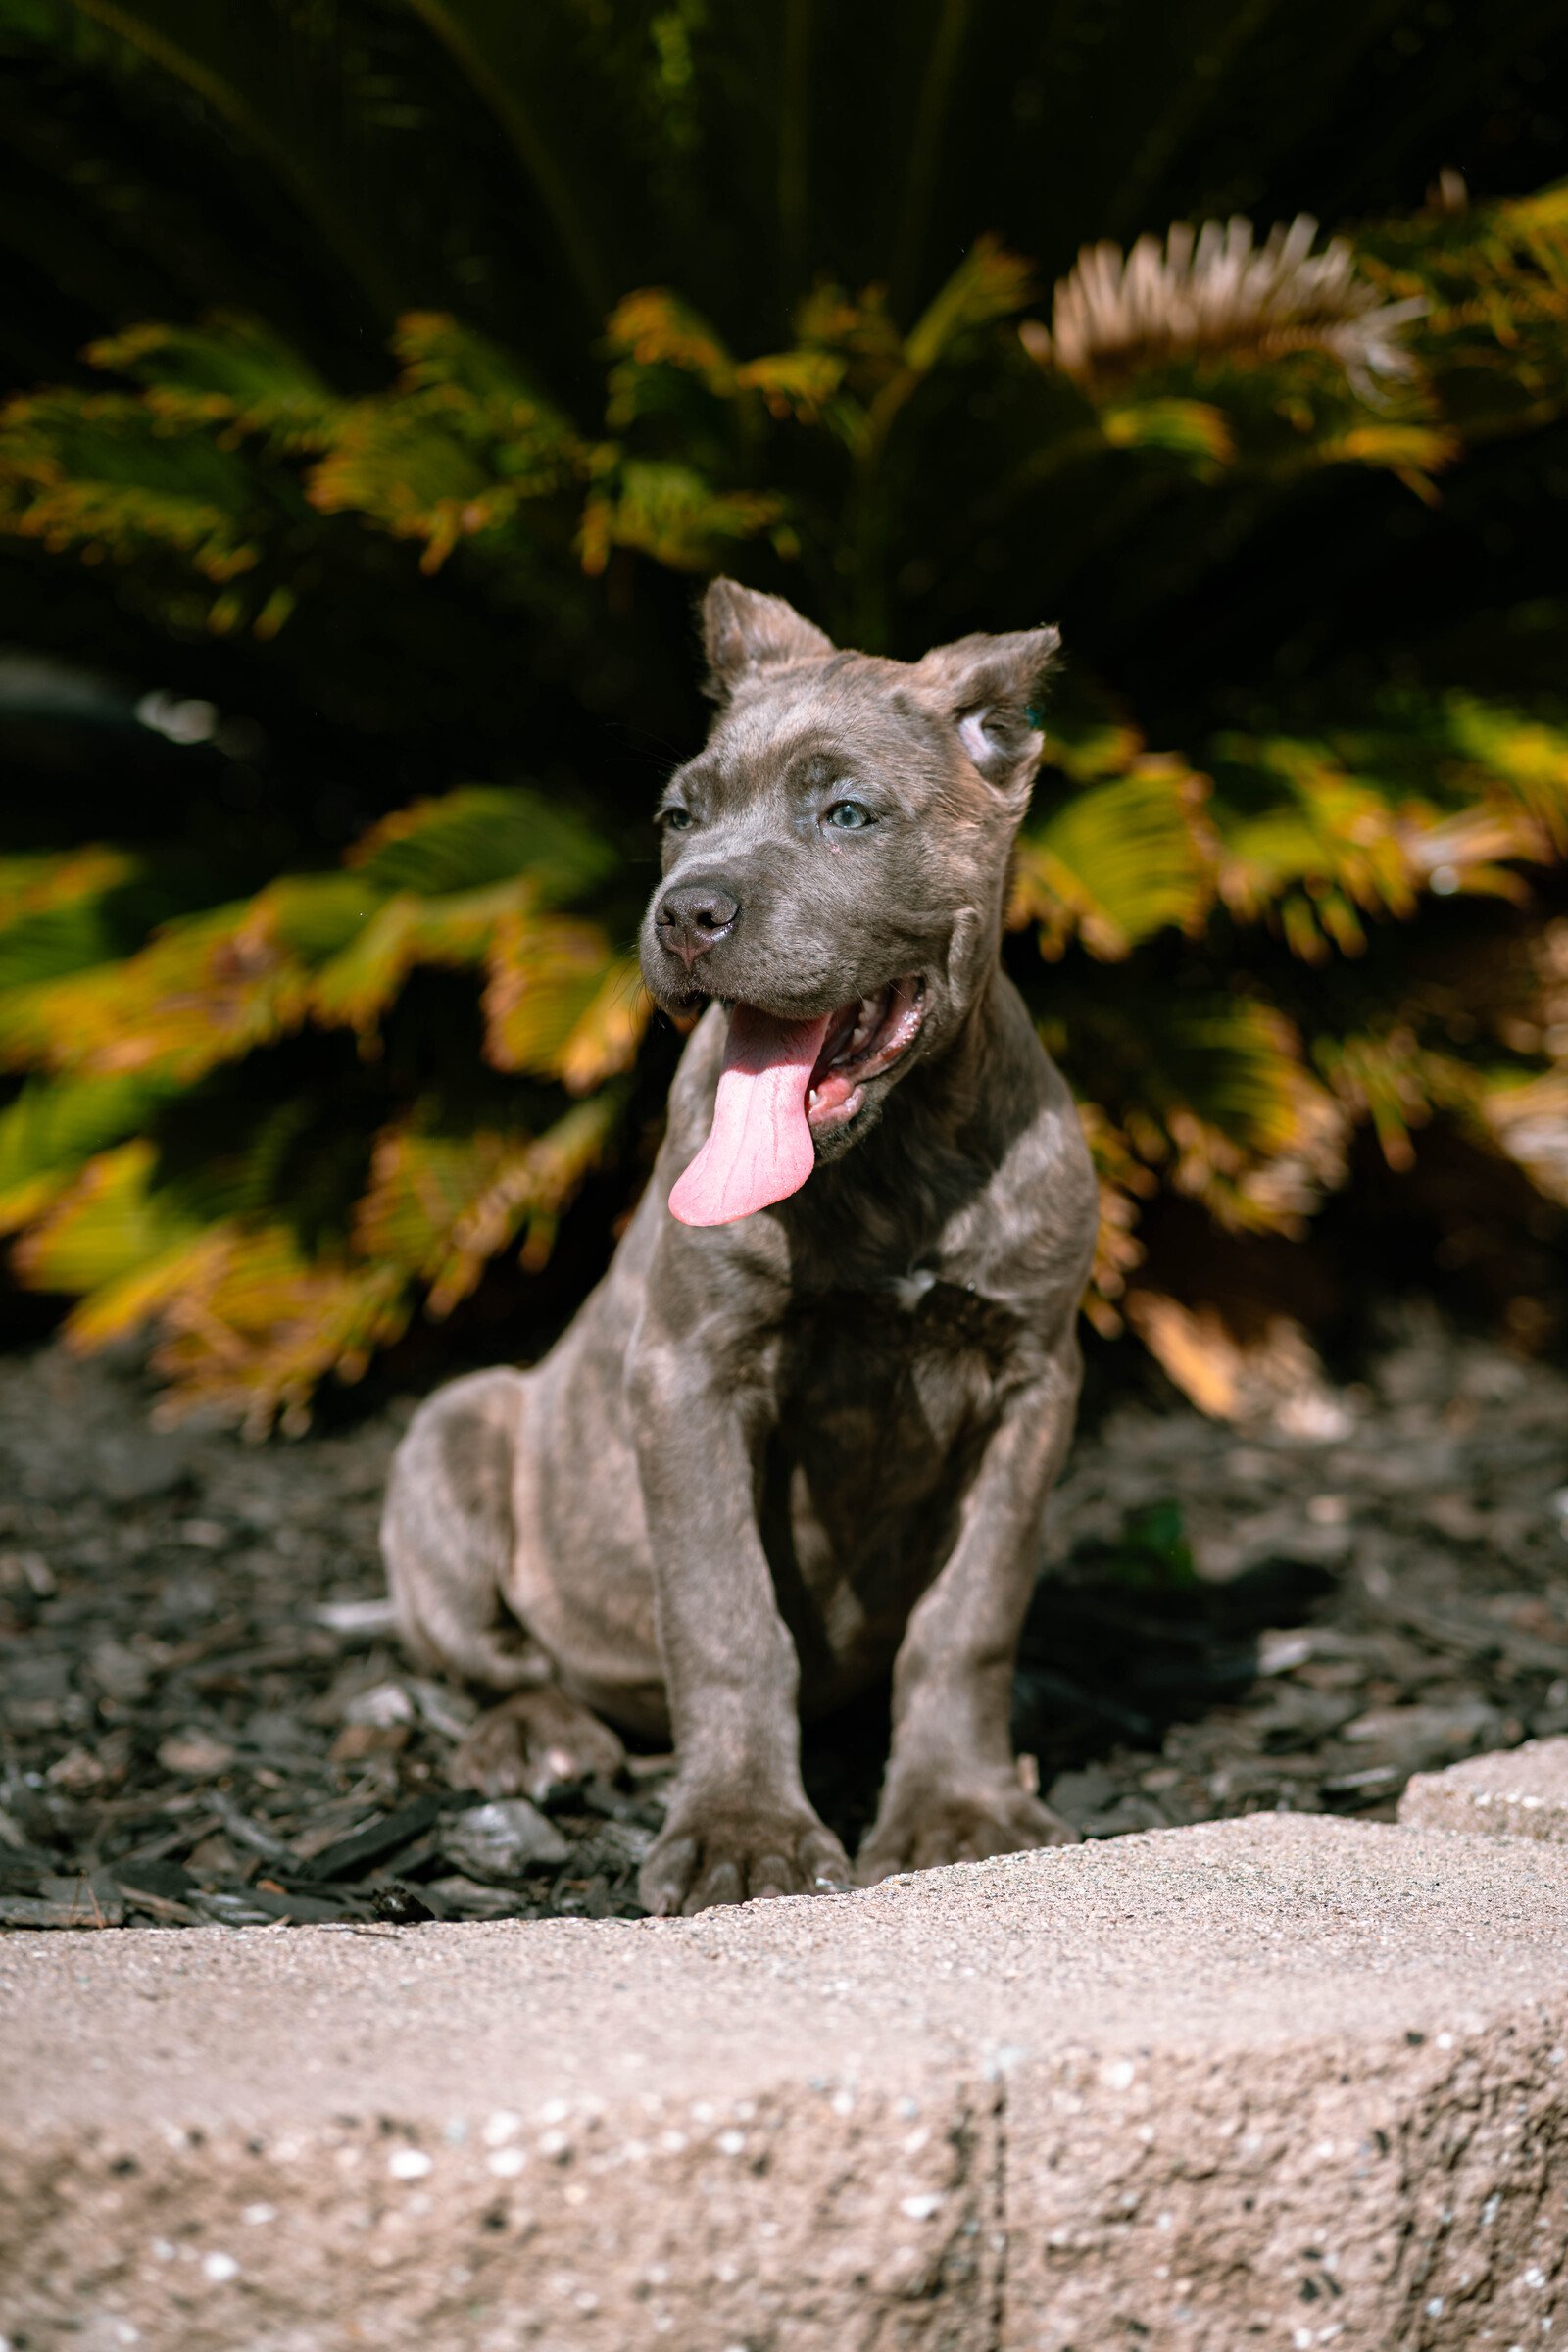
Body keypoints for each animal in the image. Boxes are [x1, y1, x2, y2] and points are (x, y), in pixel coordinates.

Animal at [383, 579, 1099, 1915]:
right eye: (680, 817)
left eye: (847, 814)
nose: (685, 912)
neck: (892, 1163)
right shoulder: (690, 1374)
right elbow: (726, 1616)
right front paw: (741, 1836)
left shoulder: (1034, 1378)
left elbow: (968, 1617)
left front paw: (962, 1809)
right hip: (451, 1432)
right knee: (498, 1660)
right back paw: (536, 1738)